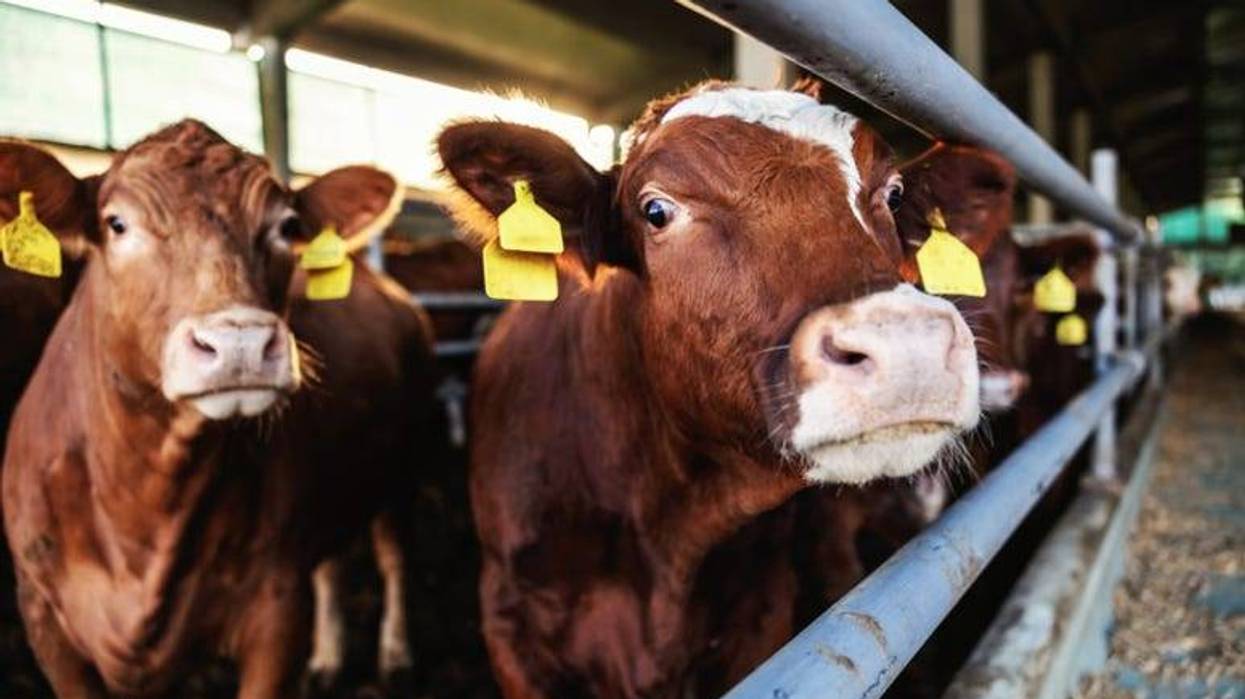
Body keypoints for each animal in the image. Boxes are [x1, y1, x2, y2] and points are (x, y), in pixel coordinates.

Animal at [1, 121, 436, 698]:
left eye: (287, 226)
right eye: (116, 224)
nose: (240, 343)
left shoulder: (277, 606)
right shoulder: (43, 619)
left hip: (406, 460)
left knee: (394, 556)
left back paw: (395, 656)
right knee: (333, 564)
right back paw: (328, 659)